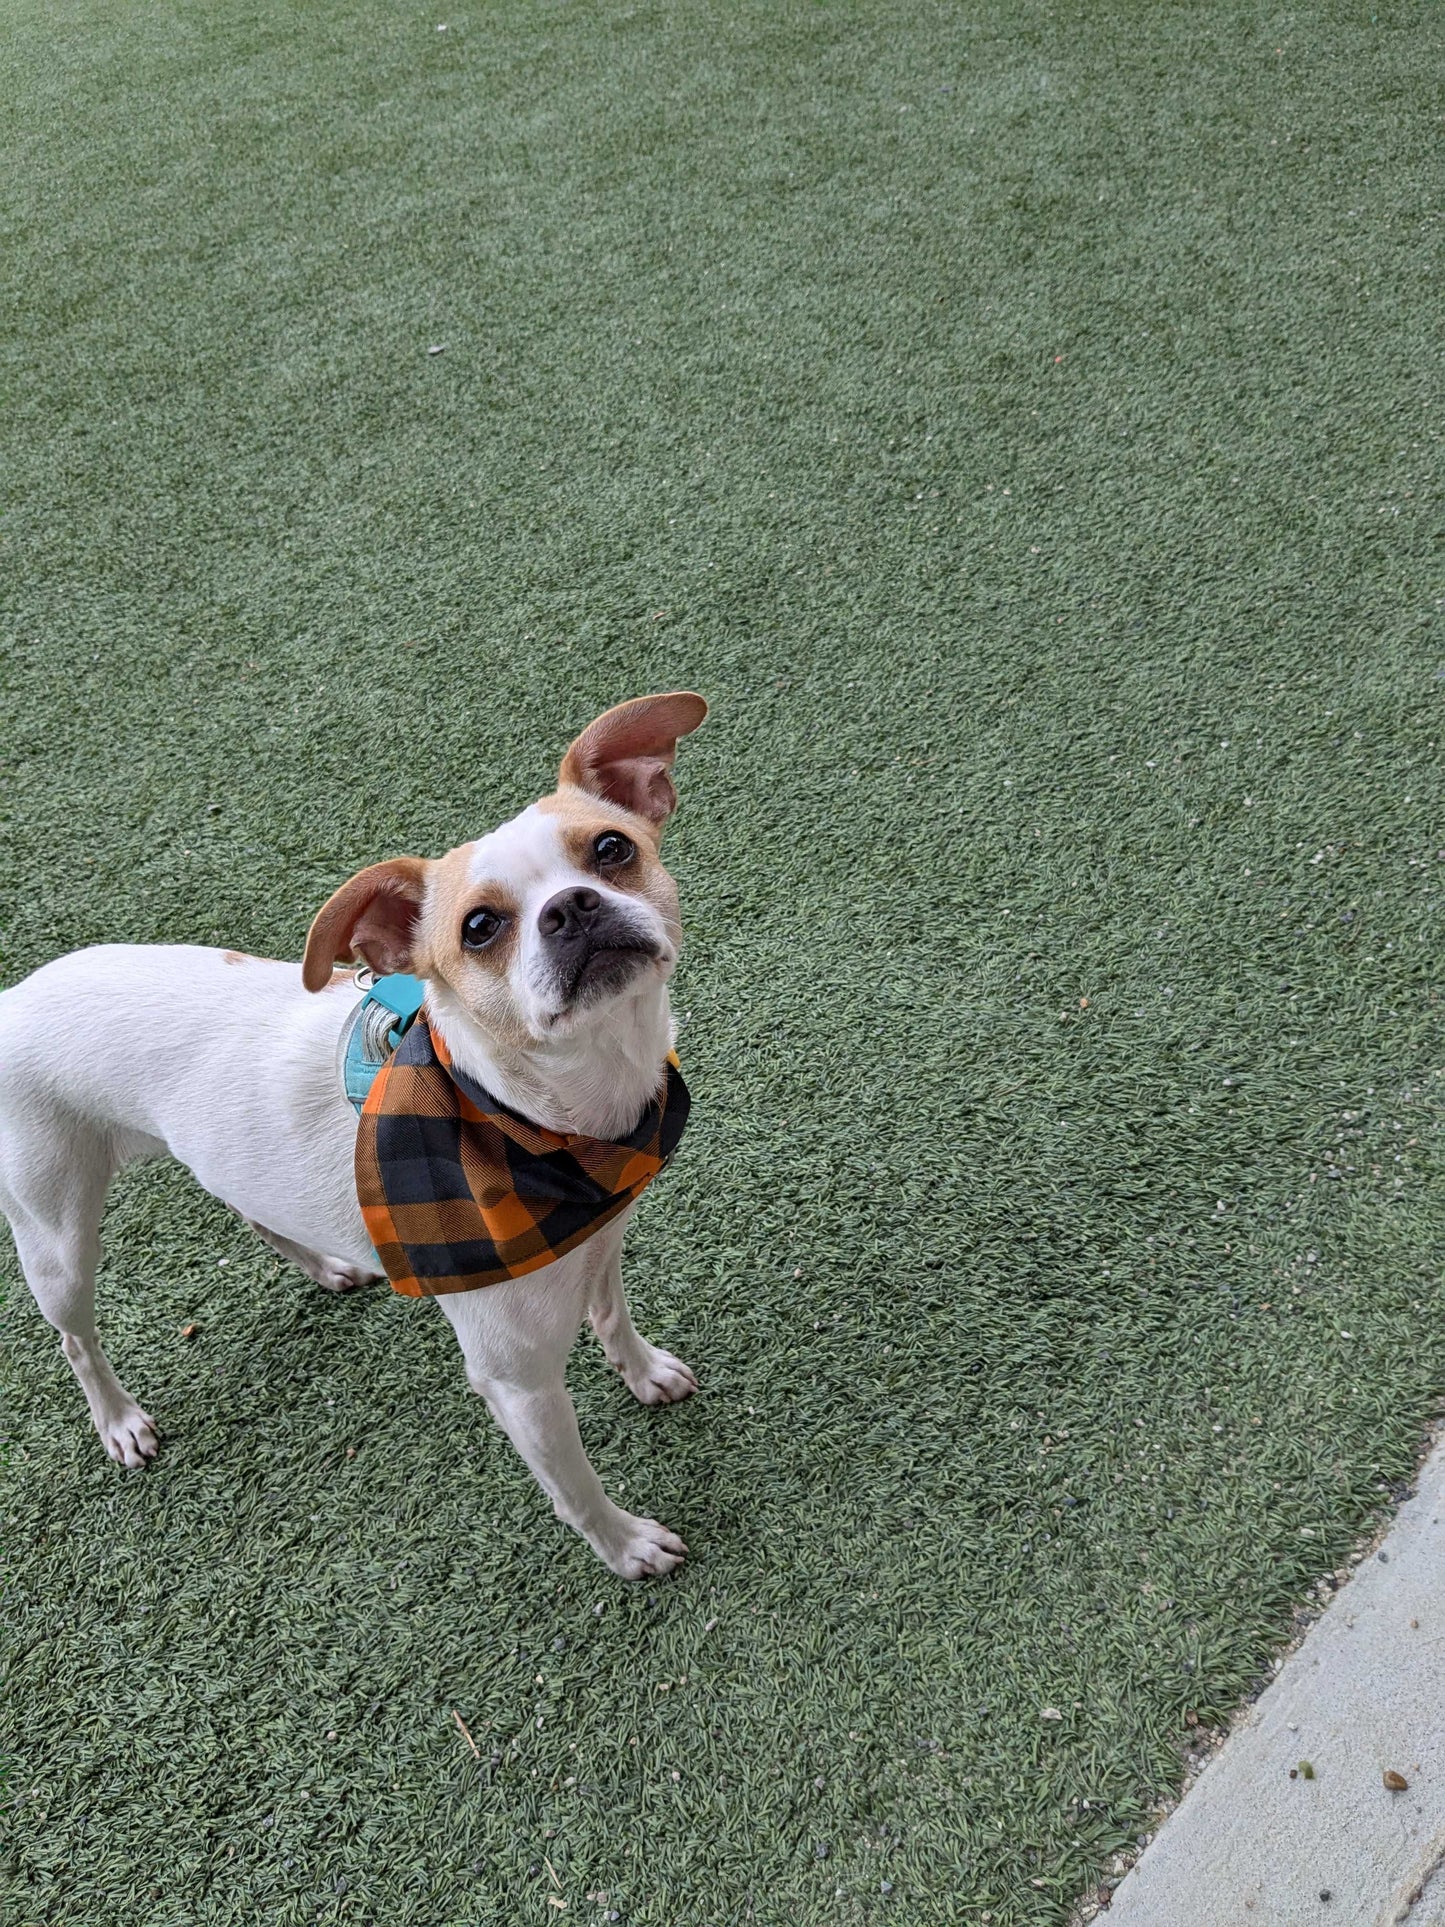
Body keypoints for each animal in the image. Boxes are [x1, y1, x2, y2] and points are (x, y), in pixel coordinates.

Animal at [0, 693, 709, 1580]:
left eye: (612, 849)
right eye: (480, 927)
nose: (571, 906)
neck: (554, 1125)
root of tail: (9, 997)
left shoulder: (600, 1242)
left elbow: (613, 1318)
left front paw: (645, 1374)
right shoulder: (517, 1381)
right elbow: (573, 1482)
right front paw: (625, 1545)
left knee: (249, 1208)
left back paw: (326, 1265)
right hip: (55, 1238)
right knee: (74, 1338)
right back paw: (118, 1420)